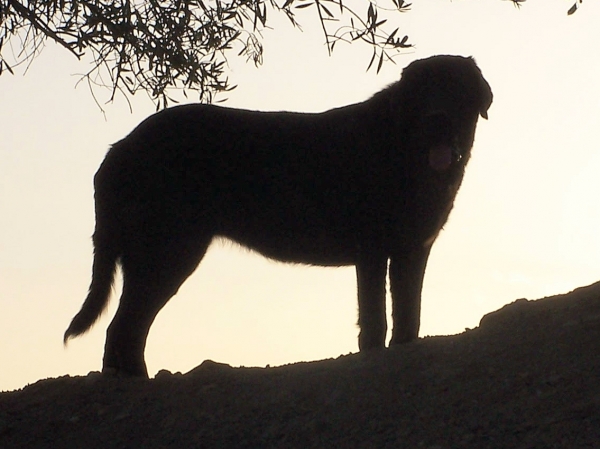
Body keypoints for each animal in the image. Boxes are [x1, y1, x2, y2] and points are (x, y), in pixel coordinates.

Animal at [64, 55, 492, 374]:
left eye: (456, 89)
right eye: (422, 92)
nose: (438, 119)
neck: (407, 149)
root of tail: (120, 147)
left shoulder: (413, 249)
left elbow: (408, 312)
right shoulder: (371, 250)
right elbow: (374, 316)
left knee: (127, 328)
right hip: (168, 252)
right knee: (124, 327)